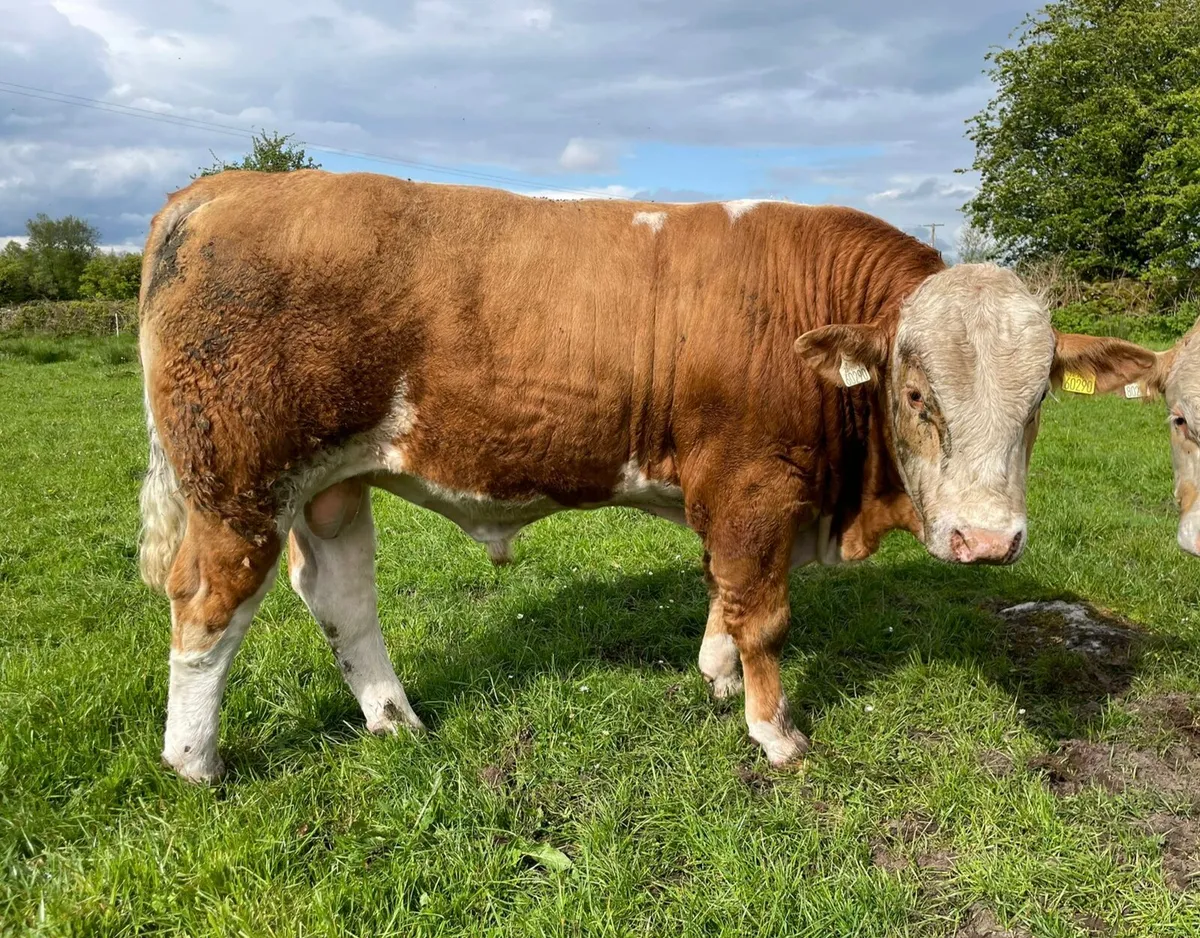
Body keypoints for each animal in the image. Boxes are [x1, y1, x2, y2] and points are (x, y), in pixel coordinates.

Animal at [136, 170, 1155, 782]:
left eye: (1040, 399)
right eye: (914, 393)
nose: (987, 540)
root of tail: (223, 188)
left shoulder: (744, 506)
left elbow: (728, 598)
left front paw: (715, 676)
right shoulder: (752, 487)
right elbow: (765, 613)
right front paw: (775, 733)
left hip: (330, 485)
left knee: (341, 595)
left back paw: (397, 722)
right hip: (237, 484)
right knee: (207, 604)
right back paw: (195, 762)